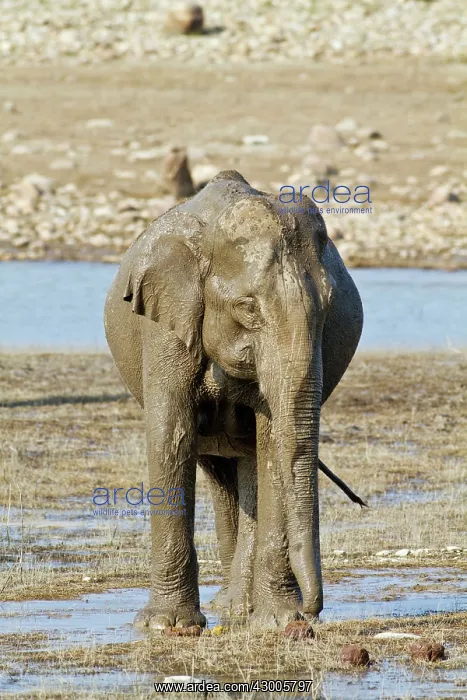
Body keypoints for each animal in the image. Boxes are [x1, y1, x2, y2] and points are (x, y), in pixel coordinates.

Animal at [104, 170, 363, 630]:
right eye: (247, 308)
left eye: (331, 306)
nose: (312, 611)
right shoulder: (167, 320)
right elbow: (171, 433)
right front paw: (166, 627)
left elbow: (272, 445)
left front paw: (279, 622)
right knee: (217, 470)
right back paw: (230, 608)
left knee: (246, 465)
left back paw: (241, 610)